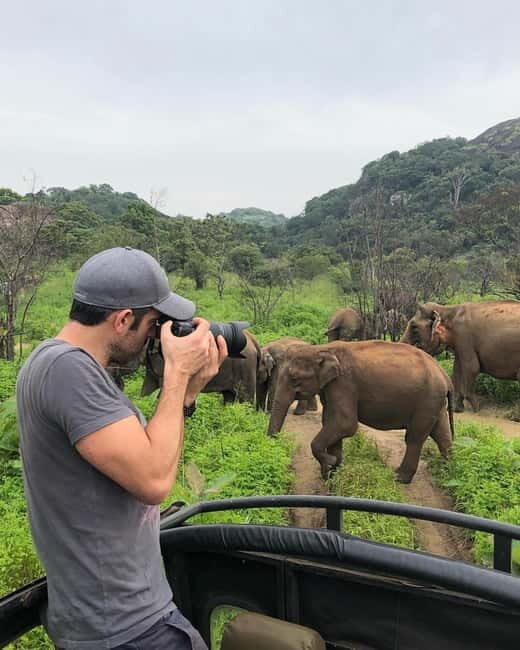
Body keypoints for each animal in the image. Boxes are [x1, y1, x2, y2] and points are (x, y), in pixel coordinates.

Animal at [267, 341, 454, 483]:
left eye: (294, 379)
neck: (321, 348)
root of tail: (445, 376)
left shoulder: (344, 383)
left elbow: (345, 424)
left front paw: (330, 464)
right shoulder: (331, 387)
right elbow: (331, 421)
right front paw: (332, 472)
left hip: (427, 399)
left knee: (415, 437)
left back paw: (399, 477)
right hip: (435, 402)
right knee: (441, 434)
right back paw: (447, 472)